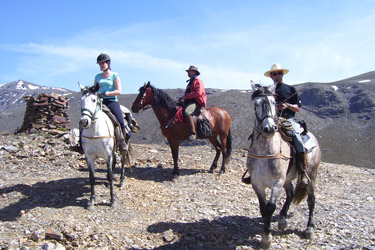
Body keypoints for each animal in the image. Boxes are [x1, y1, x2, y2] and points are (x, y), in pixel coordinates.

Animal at [247, 82, 324, 248]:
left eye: (274, 102)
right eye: (256, 104)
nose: (269, 128)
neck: (266, 152)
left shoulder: (277, 183)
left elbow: (270, 208)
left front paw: (267, 238)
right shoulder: (257, 183)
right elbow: (263, 208)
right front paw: (267, 232)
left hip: (312, 175)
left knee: (311, 199)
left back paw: (309, 229)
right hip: (288, 178)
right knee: (291, 193)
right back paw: (282, 219)